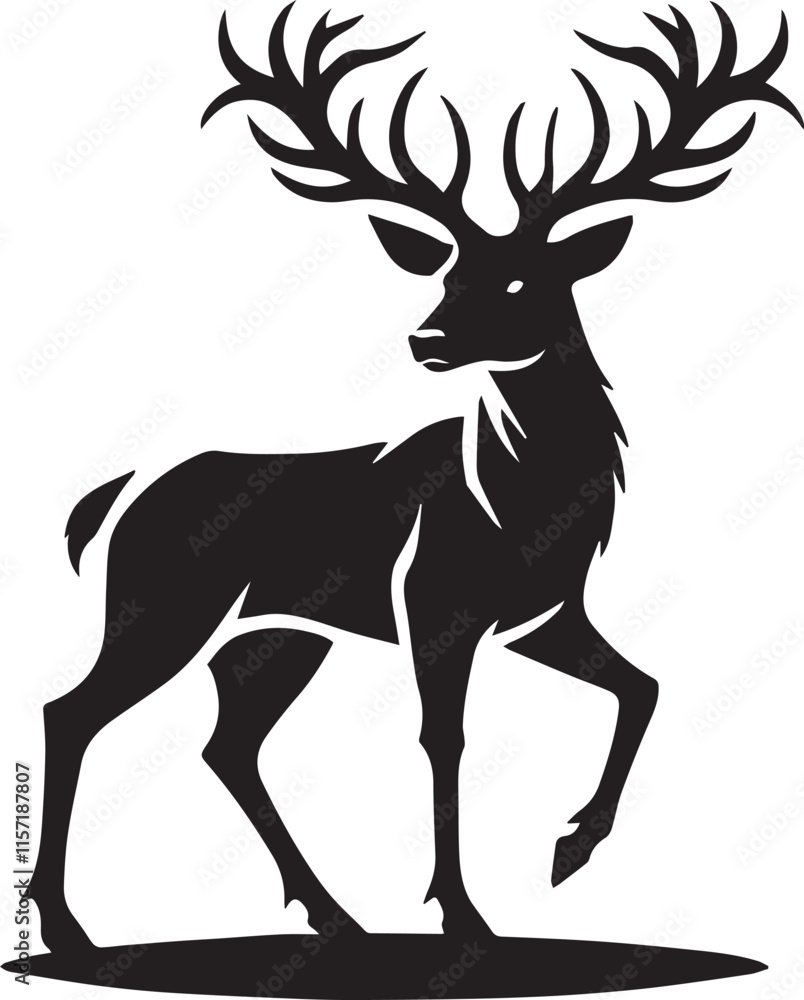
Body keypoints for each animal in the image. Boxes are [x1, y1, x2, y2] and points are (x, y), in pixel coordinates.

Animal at [30, 1, 800, 951]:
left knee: (228, 743)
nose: (425, 338)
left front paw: (568, 848)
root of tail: (111, 499)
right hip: (162, 606)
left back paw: (334, 916)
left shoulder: (547, 612)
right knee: (72, 712)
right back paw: (67, 929)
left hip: (278, 634)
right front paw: (464, 914)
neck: (522, 509)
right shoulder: (436, 603)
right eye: (445, 273)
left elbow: (644, 686)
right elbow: (446, 740)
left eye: (520, 281)